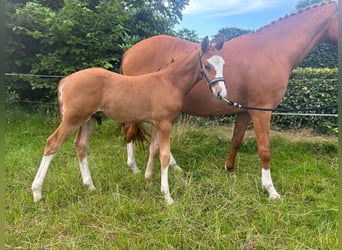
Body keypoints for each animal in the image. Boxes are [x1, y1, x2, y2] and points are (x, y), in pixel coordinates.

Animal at [30, 37, 226, 205]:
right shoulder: (165, 124)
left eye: (223, 64)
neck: (169, 82)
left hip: (89, 119)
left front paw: (148, 179)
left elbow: (153, 149)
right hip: (73, 119)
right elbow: (164, 155)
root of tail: (65, 80)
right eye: (207, 65)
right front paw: (167, 197)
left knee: (81, 145)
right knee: (52, 144)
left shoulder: (157, 123)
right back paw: (37, 193)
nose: (220, 93)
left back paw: (90, 186)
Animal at [119, 1, 336, 200]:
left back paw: (174, 167)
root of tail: (130, 51)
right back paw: (134, 168)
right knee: (130, 131)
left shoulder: (245, 111)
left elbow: (236, 140)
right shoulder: (261, 112)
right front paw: (271, 190)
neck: (269, 51)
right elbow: (264, 149)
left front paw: (230, 170)